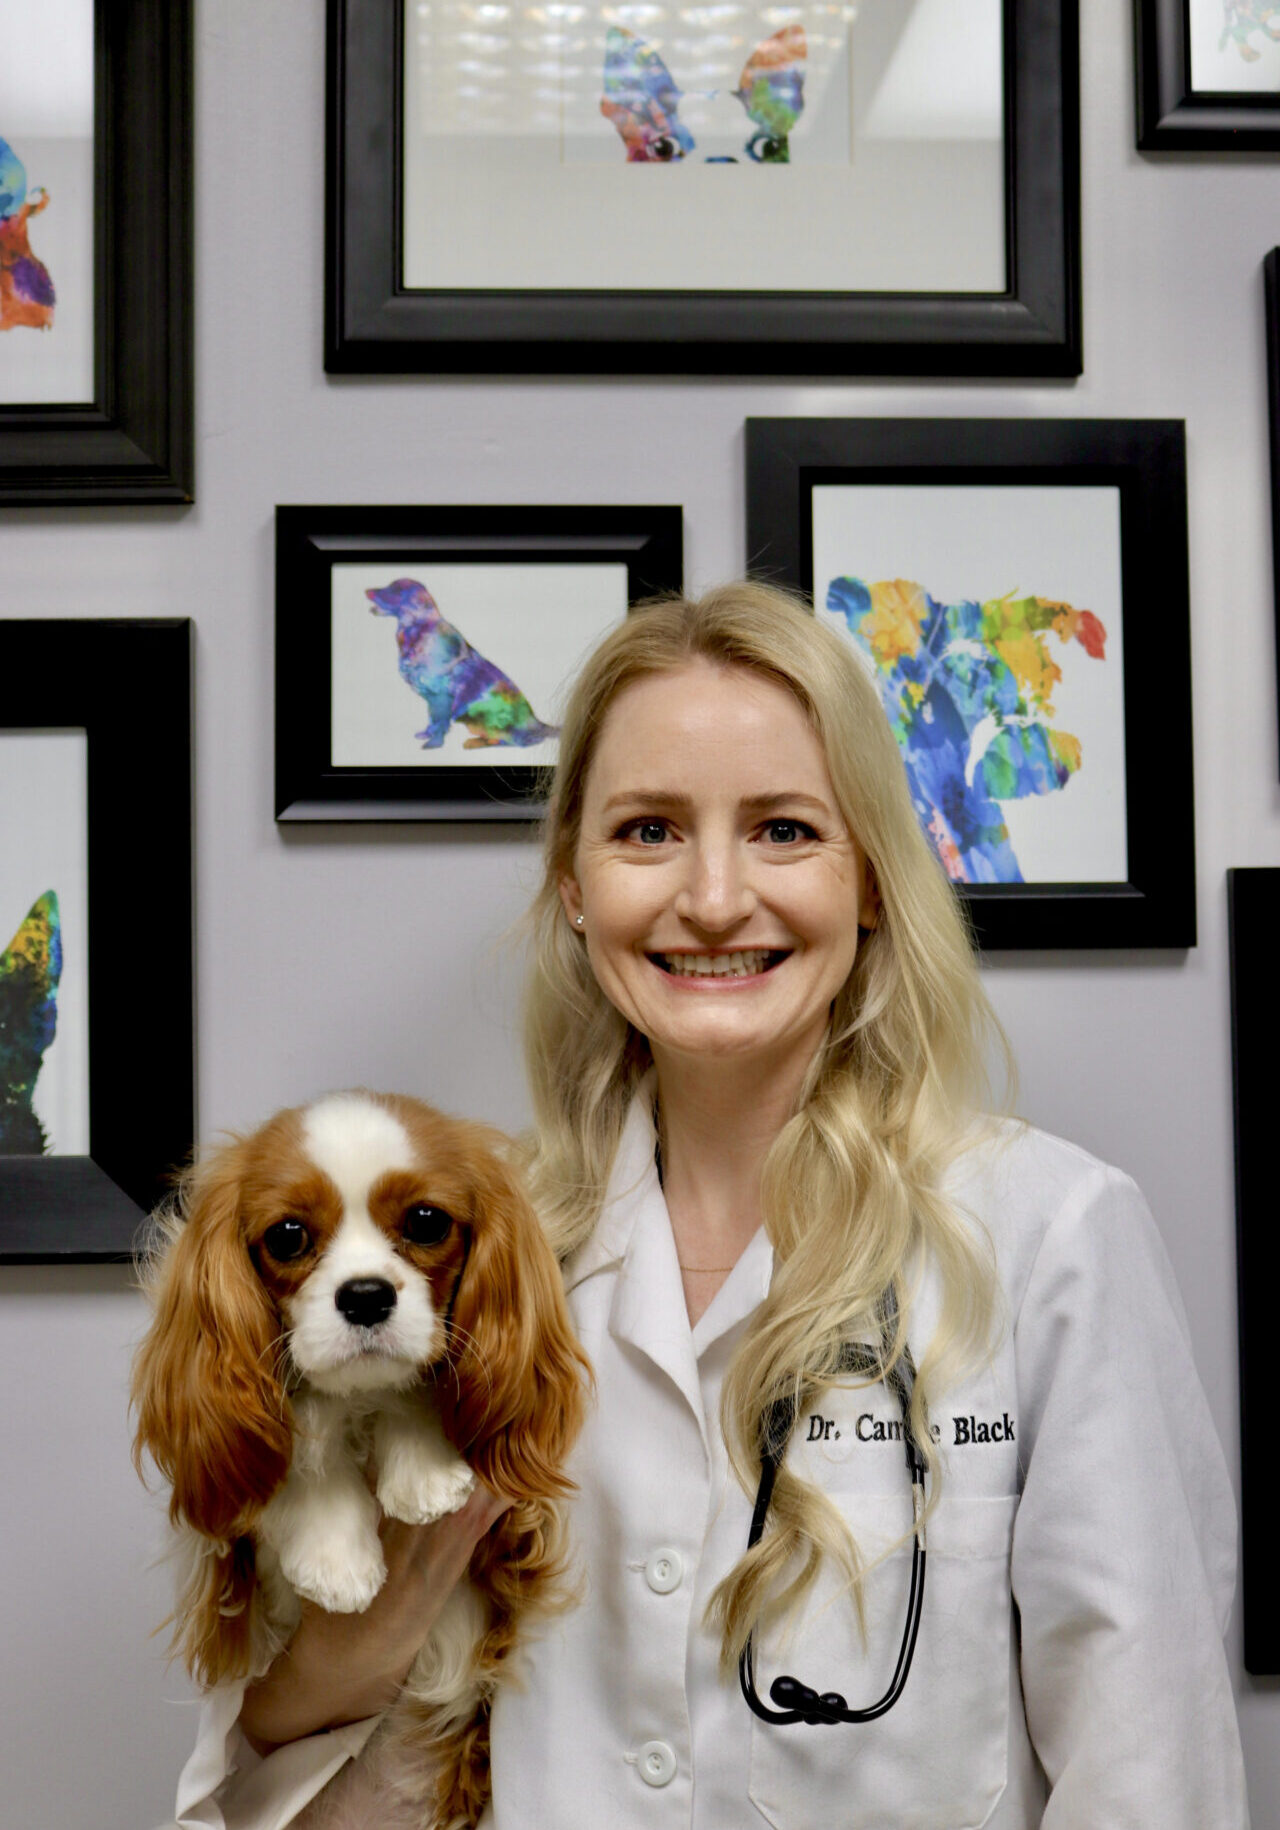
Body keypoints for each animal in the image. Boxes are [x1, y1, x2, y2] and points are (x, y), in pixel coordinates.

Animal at [130, 1090, 589, 1822]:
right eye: (288, 1236)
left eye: (427, 1222)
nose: (367, 1295)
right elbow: (300, 1452)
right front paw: (336, 1561)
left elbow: (411, 1395)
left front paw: (425, 1475)